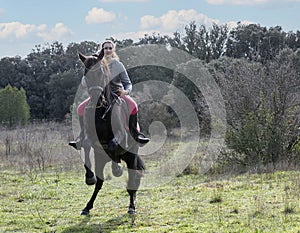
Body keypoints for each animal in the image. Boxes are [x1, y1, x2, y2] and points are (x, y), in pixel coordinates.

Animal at [77, 49, 145, 217]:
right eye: (86, 73)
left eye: (101, 71)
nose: (96, 98)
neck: (101, 110)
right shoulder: (90, 138)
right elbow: (86, 144)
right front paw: (89, 178)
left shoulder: (121, 136)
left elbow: (114, 144)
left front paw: (117, 169)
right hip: (101, 158)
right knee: (100, 182)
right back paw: (87, 206)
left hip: (131, 156)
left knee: (133, 178)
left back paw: (131, 206)